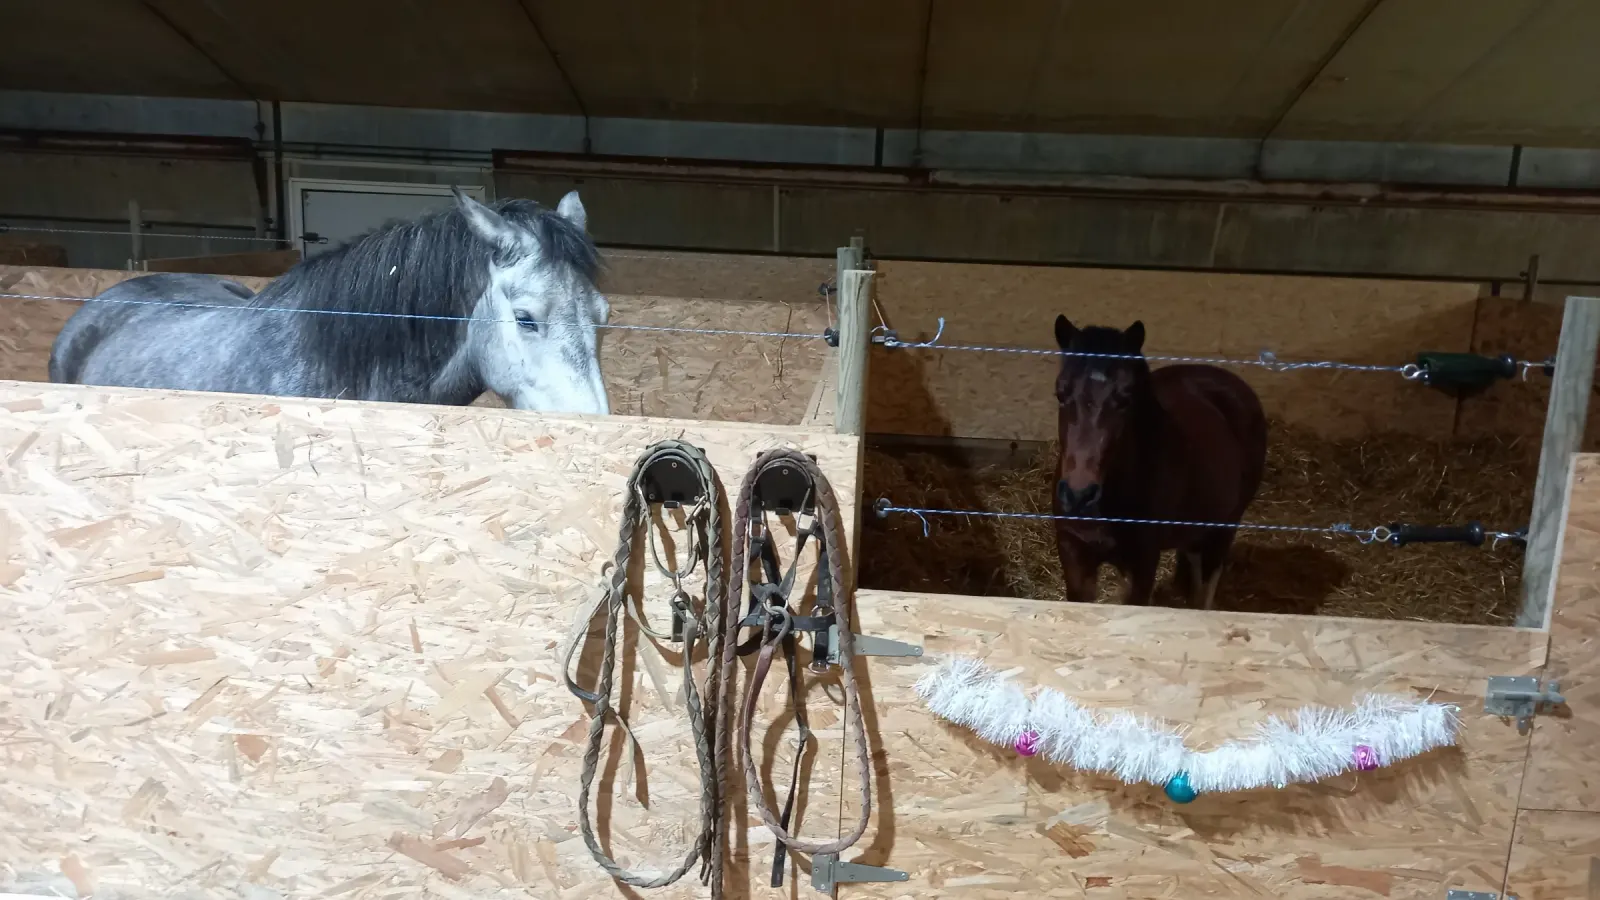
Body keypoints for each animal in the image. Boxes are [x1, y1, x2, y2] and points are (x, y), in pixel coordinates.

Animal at [1051, 315, 1267, 609]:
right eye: (1061, 394)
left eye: (1125, 398)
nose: (1079, 495)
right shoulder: (1074, 555)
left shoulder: (1143, 563)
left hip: (1224, 528)